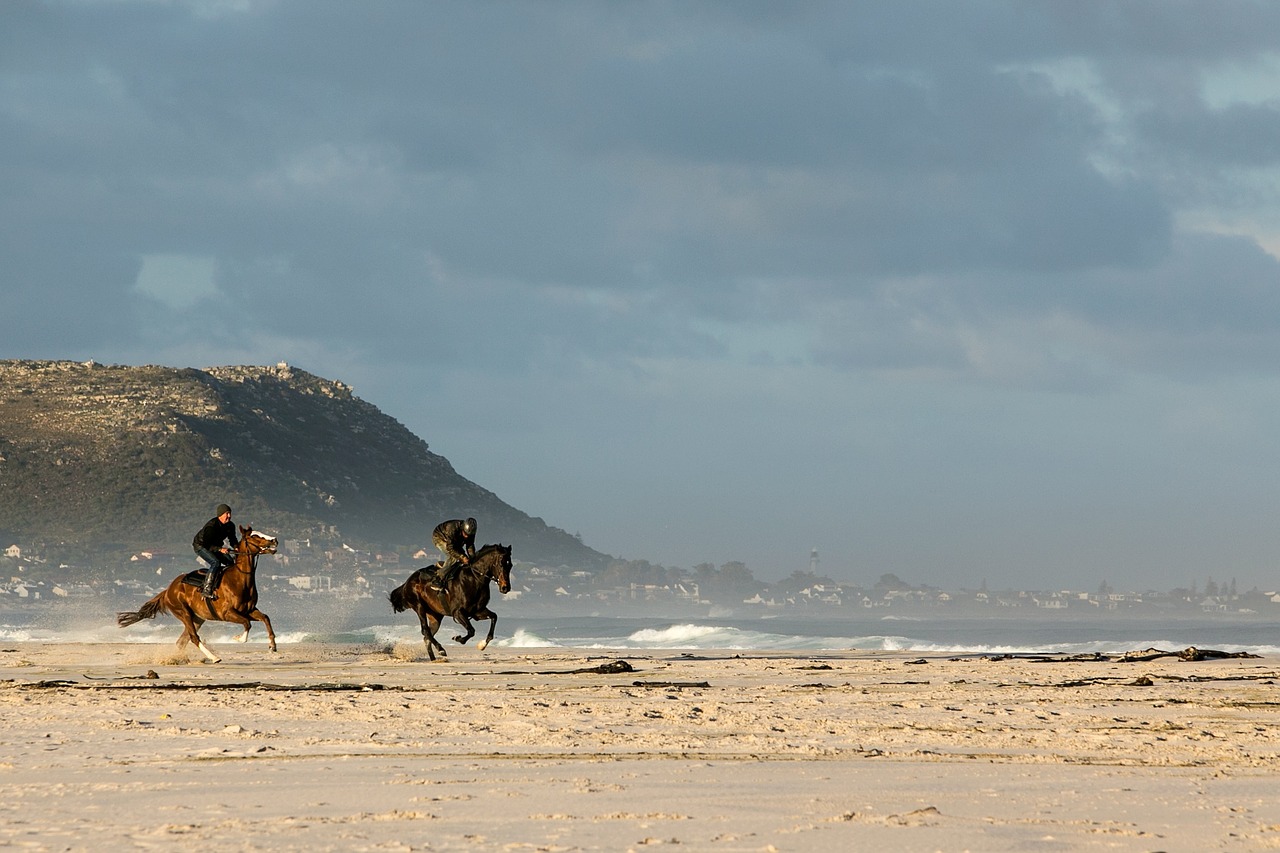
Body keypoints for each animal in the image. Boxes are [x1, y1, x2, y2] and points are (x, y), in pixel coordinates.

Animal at [116, 522, 279, 660]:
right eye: (254, 536)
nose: (274, 540)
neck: (239, 580)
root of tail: (168, 590)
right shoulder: (227, 613)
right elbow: (247, 623)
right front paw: (238, 638)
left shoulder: (249, 610)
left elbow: (265, 618)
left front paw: (272, 646)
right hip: (184, 613)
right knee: (193, 637)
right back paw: (214, 658)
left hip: (197, 618)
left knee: (182, 640)